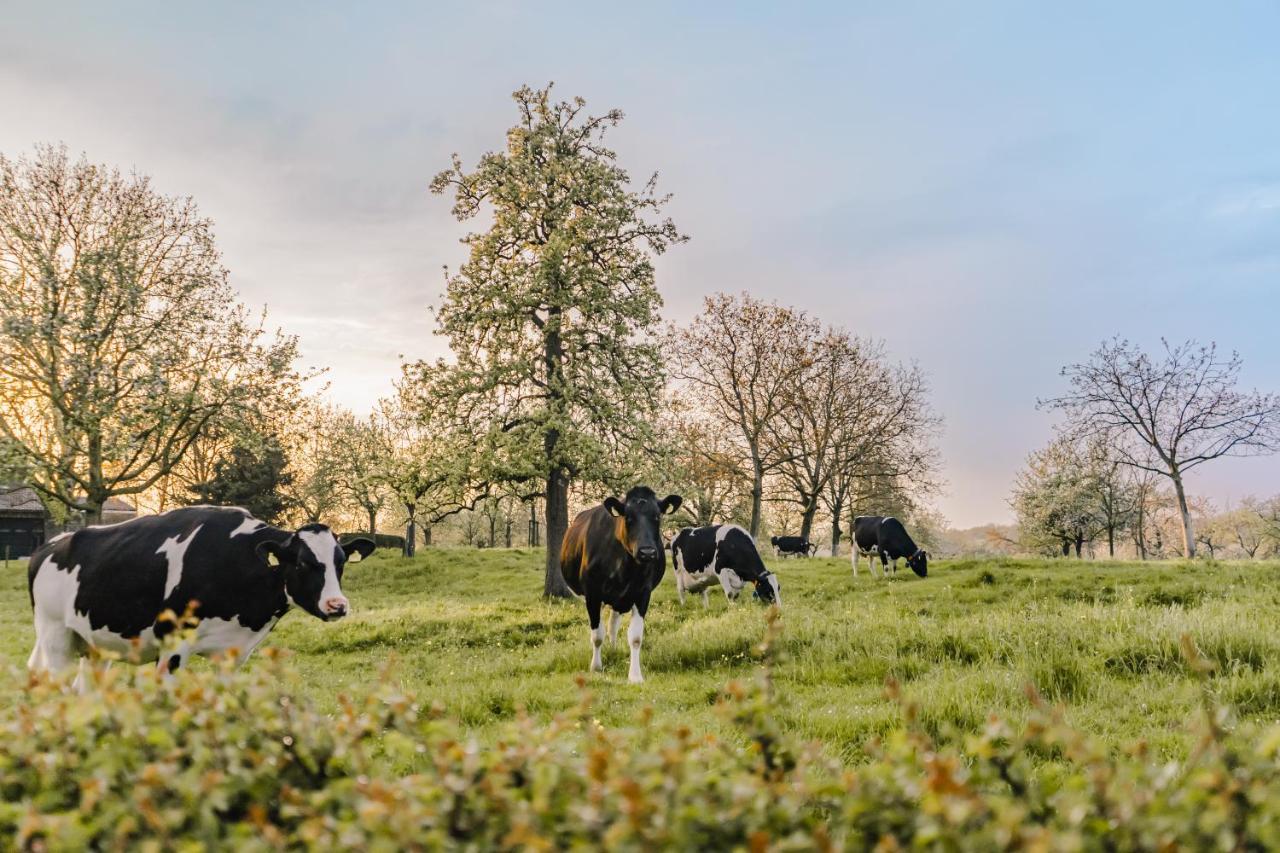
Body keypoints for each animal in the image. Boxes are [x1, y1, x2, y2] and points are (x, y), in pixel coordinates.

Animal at [27, 504, 373, 676]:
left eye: (341, 562)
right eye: (302, 563)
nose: (337, 605)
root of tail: (51, 544)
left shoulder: (234, 653)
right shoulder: (172, 648)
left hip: (96, 645)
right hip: (54, 634)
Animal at [560, 484, 680, 686]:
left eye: (657, 517)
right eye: (628, 518)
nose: (647, 552)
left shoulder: (643, 593)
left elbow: (636, 637)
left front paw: (635, 676)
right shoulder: (592, 594)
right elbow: (597, 635)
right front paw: (596, 667)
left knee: (613, 624)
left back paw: (613, 648)